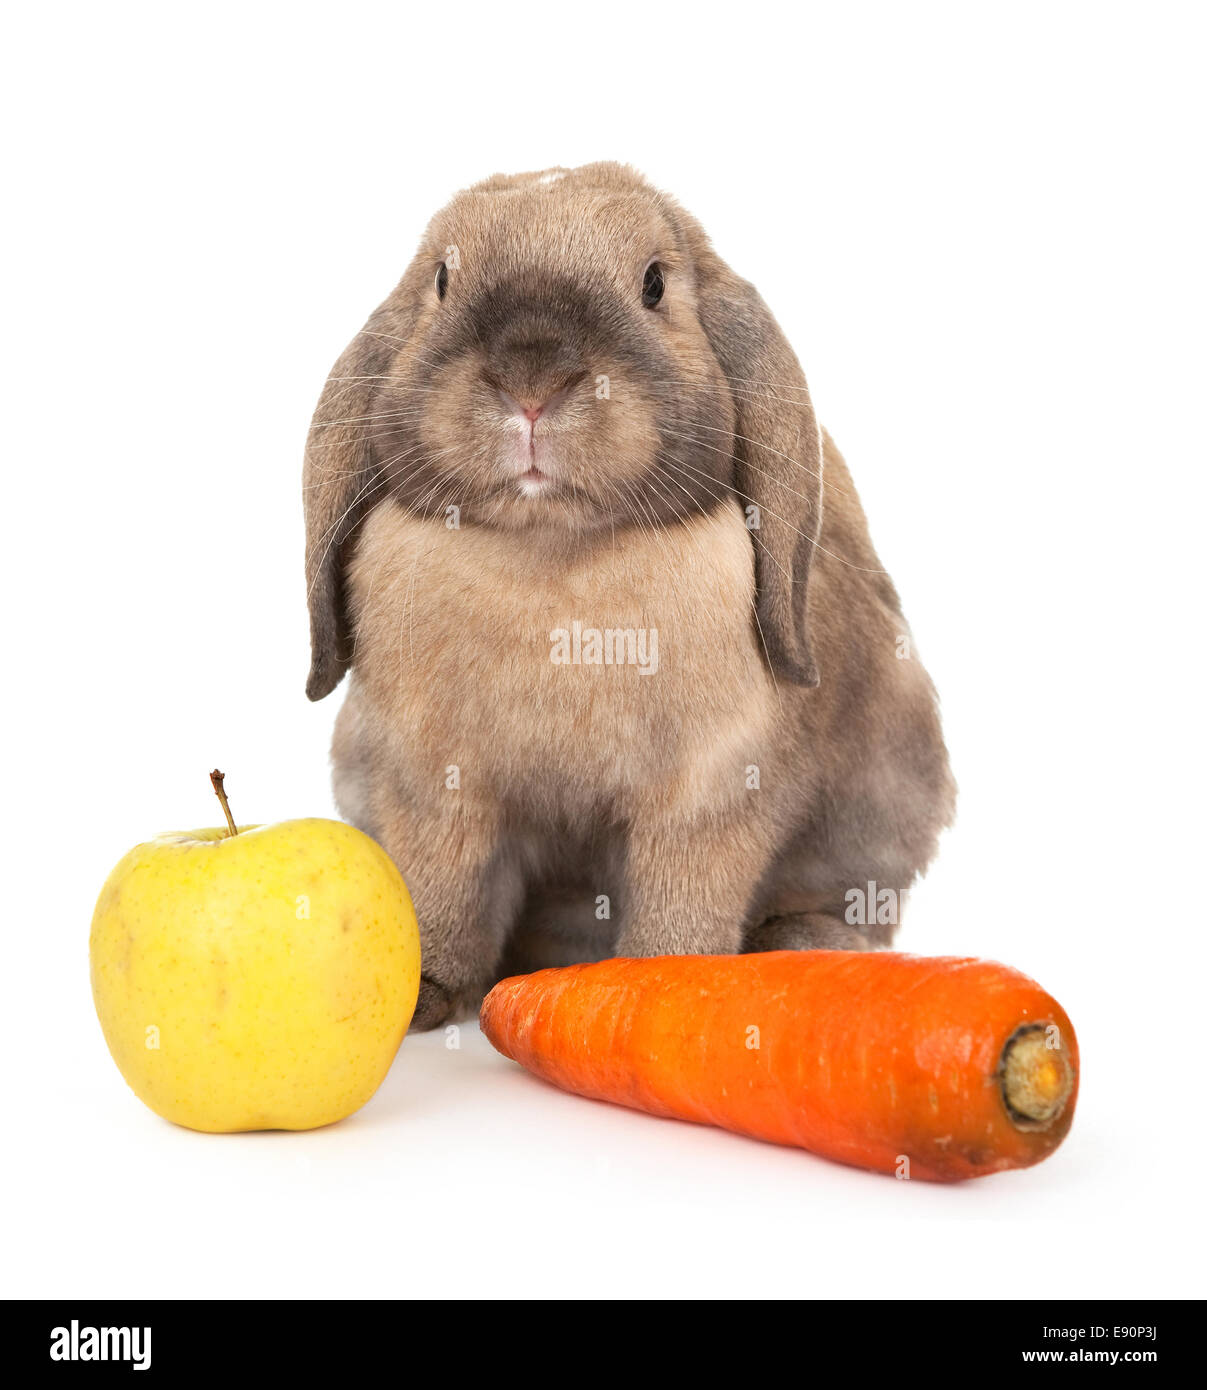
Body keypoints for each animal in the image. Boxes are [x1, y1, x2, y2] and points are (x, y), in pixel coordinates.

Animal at [303, 162, 956, 1031]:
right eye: (441, 279)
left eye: (653, 283)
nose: (532, 381)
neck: (552, 556)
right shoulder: (431, 788)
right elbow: (442, 887)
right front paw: (424, 995)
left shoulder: (709, 795)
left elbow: (682, 897)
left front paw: (665, 982)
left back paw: (799, 943)